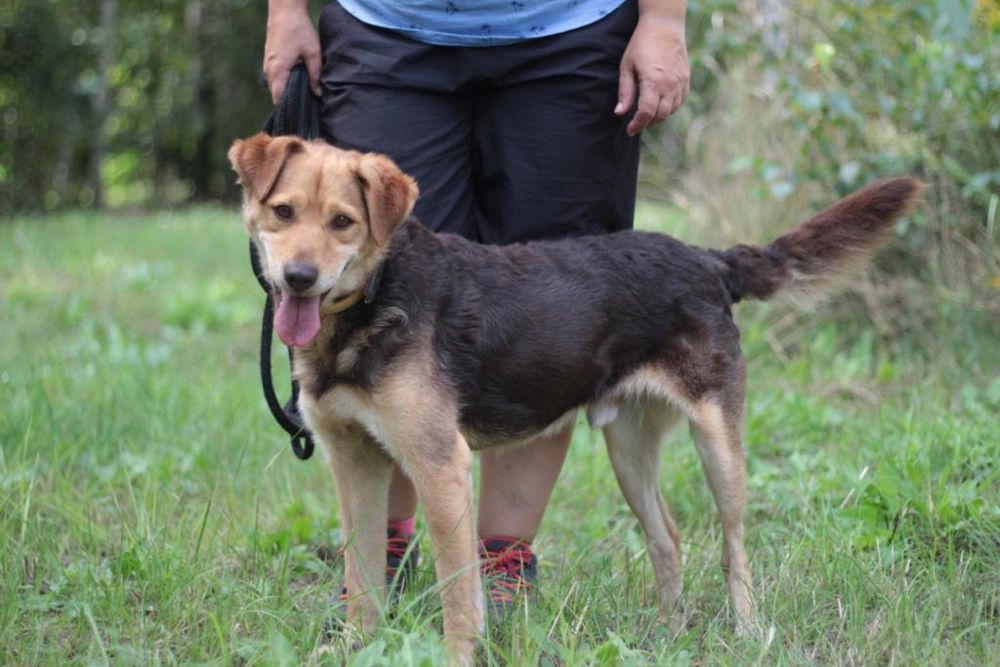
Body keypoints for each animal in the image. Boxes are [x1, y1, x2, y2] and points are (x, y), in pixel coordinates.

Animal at [227, 133, 920, 660]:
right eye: (283, 212)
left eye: (343, 222)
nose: (298, 278)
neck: (374, 300)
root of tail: (709, 260)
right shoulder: (356, 464)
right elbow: (364, 581)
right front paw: (355, 649)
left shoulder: (439, 464)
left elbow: (457, 598)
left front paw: (456, 655)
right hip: (628, 448)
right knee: (668, 538)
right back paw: (665, 634)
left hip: (720, 447)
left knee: (734, 549)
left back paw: (747, 632)